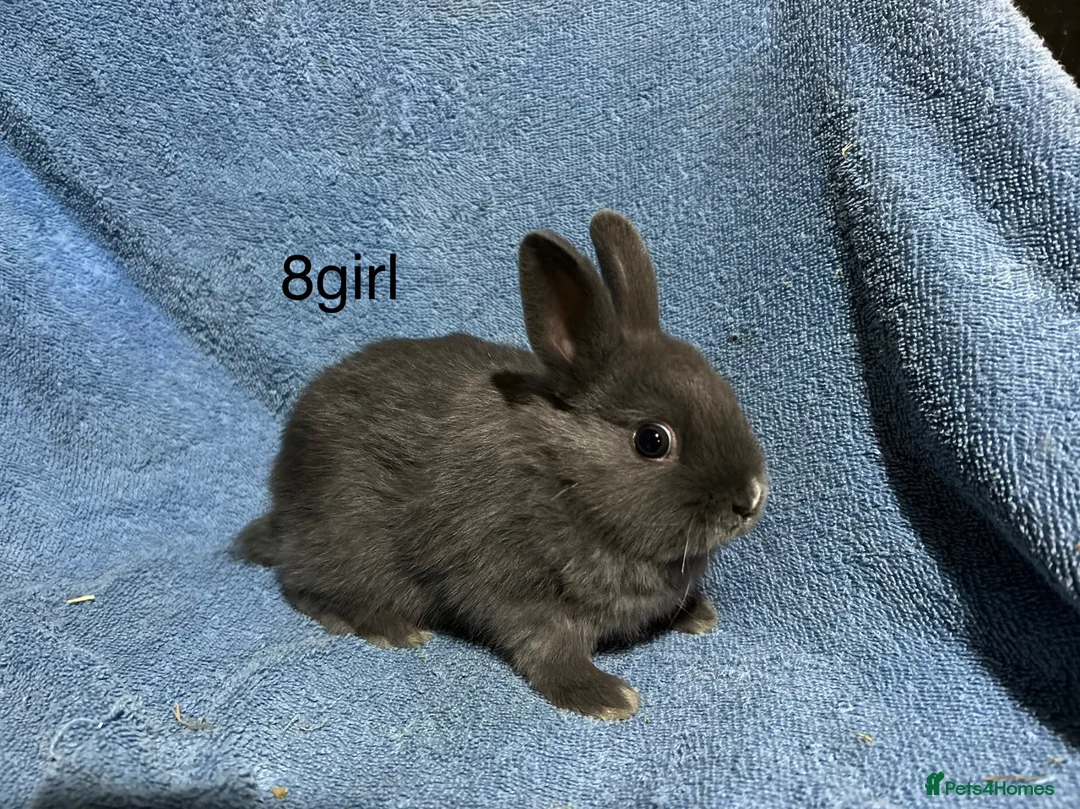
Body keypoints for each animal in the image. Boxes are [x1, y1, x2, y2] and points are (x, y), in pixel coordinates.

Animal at [236, 209, 768, 721]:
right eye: (652, 440)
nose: (750, 497)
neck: (563, 476)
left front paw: (697, 614)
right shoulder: (516, 588)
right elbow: (546, 648)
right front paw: (604, 697)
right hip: (347, 545)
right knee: (301, 585)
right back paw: (388, 627)